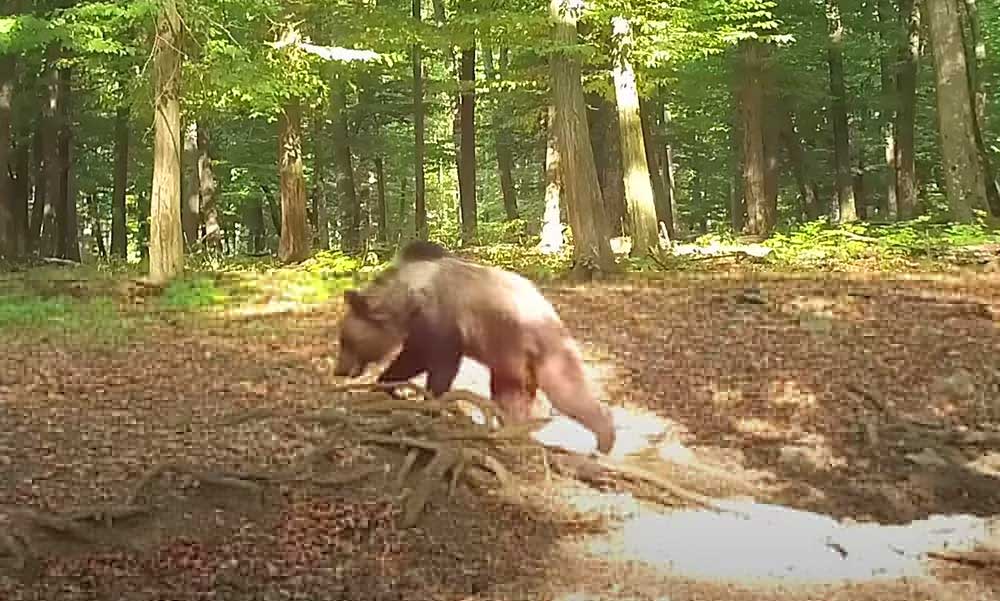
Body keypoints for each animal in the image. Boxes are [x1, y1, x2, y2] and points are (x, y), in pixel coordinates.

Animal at [336, 239, 612, 450]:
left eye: (345, 339)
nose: (339, 369)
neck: (406, 300)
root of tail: (548, 309)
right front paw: (392, 388)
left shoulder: (441, 322)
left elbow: (431, 363)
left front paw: (423, 400)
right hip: (512, 357)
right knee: (511, 394)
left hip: (532, 345)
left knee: (566, 391)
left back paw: (604, 438)